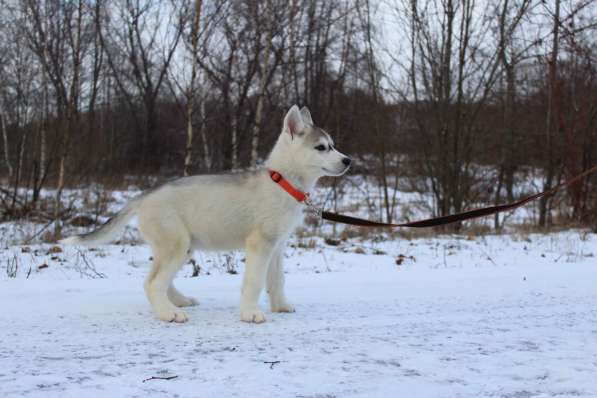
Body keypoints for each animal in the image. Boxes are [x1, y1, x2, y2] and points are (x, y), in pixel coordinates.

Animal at [60, 105, 350, 324]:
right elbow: (254, 281)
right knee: (152, 283)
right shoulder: (260, 244)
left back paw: (178, 302)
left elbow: (277, 280)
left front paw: (280, 306)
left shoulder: (277, 246)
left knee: (155, 279)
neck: (283, 182)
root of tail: (144, 195)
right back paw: (168, 314)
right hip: (177, 245)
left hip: (180, 247)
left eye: (333, 145)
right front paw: (250, 314)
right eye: (321, 147)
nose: (348, 160)